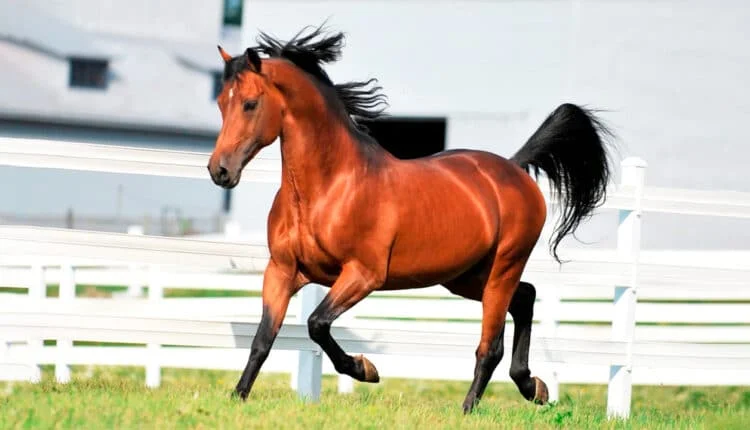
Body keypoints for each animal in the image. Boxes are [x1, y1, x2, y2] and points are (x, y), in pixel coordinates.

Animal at [208, 26, 614, 413]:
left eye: (250, 104)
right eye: (221, 103)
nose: (219, 171)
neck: (330, 188)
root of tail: (514, 169)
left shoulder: (363, 274)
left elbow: (317, 324)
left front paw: (365, 369)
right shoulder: (282, 270)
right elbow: (263, 339)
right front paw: (238, 397)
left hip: (503, 268)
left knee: (490, 346)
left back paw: (470, 408)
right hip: (466, 277)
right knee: (525, 297)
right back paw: (535, 387)